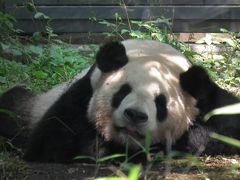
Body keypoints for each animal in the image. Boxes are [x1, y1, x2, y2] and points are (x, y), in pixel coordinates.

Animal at [0, 39, 239, 163]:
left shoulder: (207, 98)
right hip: (32, 106)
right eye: (123, 92)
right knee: (13, 107)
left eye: (160, 103)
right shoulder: (82, 93)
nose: (135, 115)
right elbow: (55, 141)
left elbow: (228, 127)